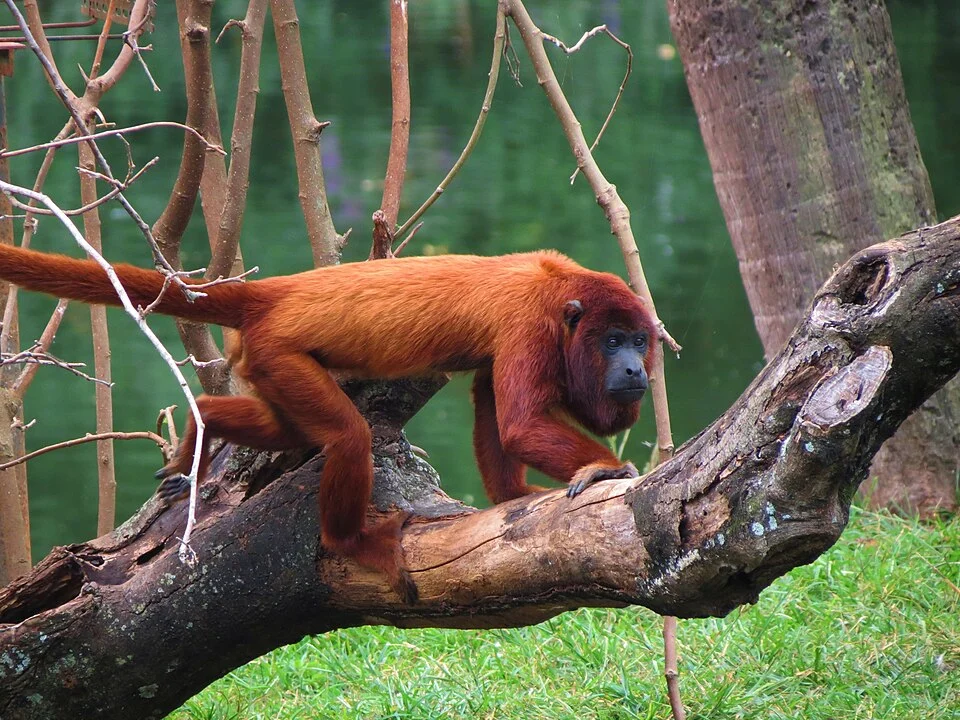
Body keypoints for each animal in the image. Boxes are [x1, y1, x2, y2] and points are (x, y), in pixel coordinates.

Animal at [0, 245, 655, 603]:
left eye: (641, 340)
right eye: (613, 341)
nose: (635, 368)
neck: (562, 294)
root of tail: (269, 296)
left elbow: (493, 406)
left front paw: (512, 496)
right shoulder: (530, 324)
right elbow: (518, 422)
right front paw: (604, 468)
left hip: (265, 365)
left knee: (283, 430)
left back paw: (202, 425)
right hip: (279, 354)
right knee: (346, 437)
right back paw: (353, 542)